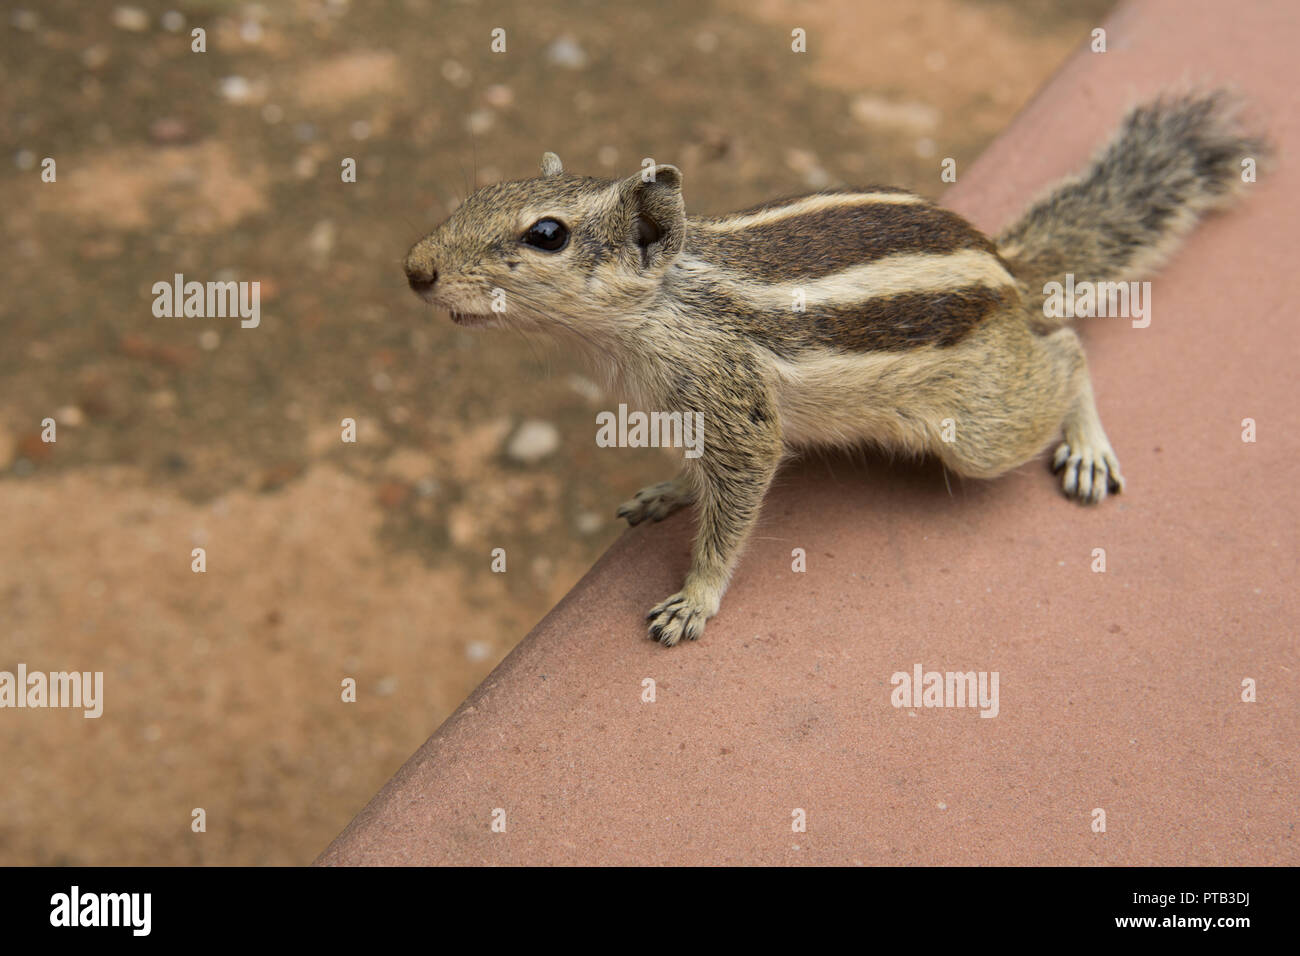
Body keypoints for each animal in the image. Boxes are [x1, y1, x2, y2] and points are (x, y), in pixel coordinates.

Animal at [404, 90, 1264, 647]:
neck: (662, 306)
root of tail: (1008, 269)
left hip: (979, 431)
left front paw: (695, 599)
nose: (414, 270)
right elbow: (697, 474)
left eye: (546, 234)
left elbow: (737, 504)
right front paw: (668, 493)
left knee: (1067, 355)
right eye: (482, 192)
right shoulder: (688, 409)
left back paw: (1086, 444)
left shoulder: (737, 407)